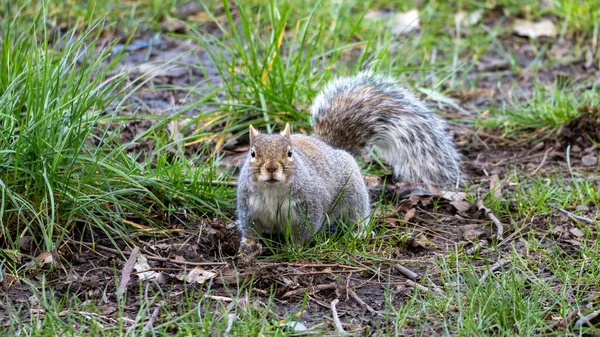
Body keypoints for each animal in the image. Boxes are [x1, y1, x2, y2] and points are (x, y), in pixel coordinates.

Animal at [233, 71, 460, 253]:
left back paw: (359, 232)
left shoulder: (309, 207)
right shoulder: (248, 207)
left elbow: (304, 230)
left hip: (353, 195)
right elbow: (249, 227)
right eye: (252, 153)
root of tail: (332, 147)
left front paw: (294, 248)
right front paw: (249, 244)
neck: (272, 190)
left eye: (290, 152)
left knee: (358, 214)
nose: (271, 168)